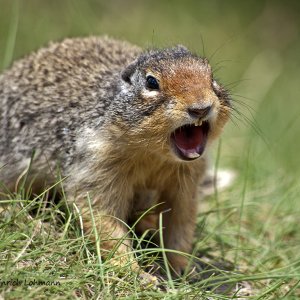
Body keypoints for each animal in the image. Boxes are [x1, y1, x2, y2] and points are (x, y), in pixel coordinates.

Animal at [0, 37, 230, 278]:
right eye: (151, 82)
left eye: (211, 76)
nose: (201, 108)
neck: (154, 155)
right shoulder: (96, 164)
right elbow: (103, 218)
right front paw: (133, 271)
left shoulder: (187, 182)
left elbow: (180, 224)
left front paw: (184, 267)